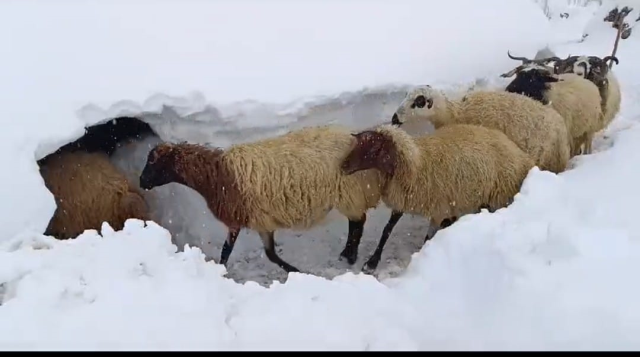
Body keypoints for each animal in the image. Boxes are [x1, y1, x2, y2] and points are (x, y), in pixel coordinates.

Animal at [137, 125, 382, 272]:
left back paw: (350, 255)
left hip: (349, 192)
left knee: (358, 222)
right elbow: (270, 254)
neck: (215, 175)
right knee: (357, 221)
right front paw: (294, 270)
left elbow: (227, 251)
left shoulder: (238, 219)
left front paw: (295, 271)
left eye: (152, 162)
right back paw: (348, 254)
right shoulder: (260, 221)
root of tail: (352, 137)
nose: (141, 182)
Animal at [340, 122, 536, 272]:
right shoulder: (405, 200)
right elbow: (387, 230)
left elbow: (428, 238)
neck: (417, 163)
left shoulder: (438, 206)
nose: (343, 166)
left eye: (373, 146)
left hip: (498, 195)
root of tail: (520, 152)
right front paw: (371, 262)